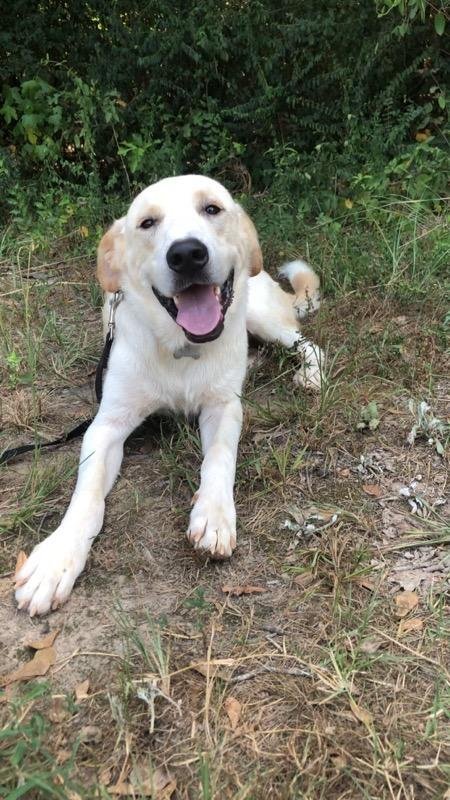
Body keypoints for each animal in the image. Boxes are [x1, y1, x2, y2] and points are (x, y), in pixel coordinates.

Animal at [14, 173, 324, 620]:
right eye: (147, 222)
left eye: (212, 208)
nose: (187, 254)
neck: (182, 347)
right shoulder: (105, 427)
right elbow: (86, 497)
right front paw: (56, 560)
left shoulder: (223, 408)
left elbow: (219, 459)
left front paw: (213, 515)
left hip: (260, 314)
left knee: (308, 344)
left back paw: (310, 375)